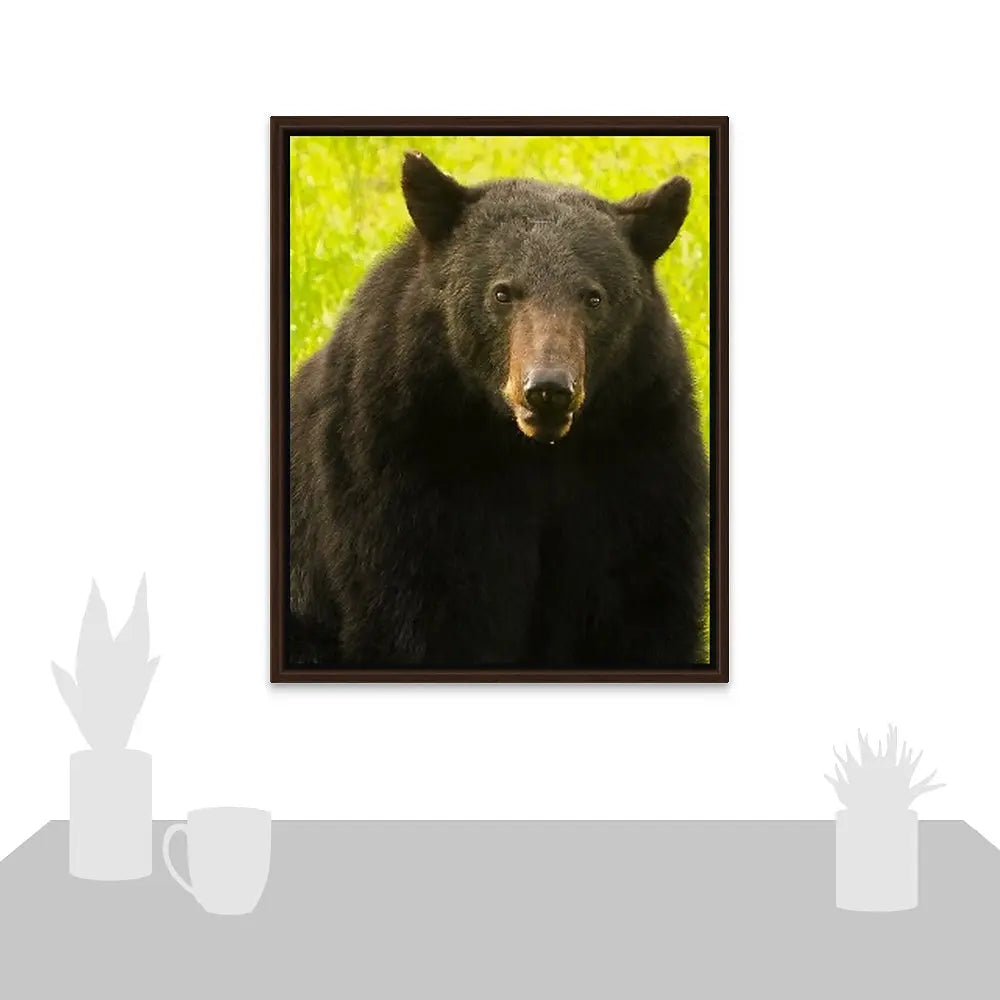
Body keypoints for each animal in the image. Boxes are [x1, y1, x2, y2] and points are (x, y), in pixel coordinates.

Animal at [288, 151, 708, 668]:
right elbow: (425, 608)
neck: (532, 451)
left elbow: (643, 599)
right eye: (502, 292)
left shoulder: (641, 449)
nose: (547, 389)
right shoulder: (399, 460)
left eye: (594, 297)